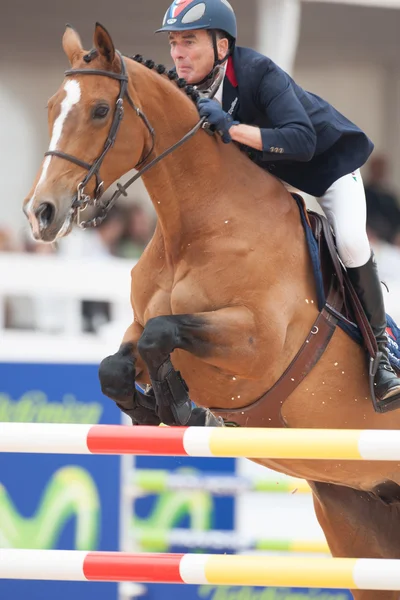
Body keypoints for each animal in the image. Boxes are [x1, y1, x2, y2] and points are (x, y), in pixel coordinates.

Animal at [22, 22, 400, 596]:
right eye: (50, 107)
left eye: (100, 111)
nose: (41, 214)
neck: (200, 223)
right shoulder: (137, 326)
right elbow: (117, 364)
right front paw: (159, 409)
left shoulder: (256, 345)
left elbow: (162, 333)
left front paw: (180, 406)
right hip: (359, 519)